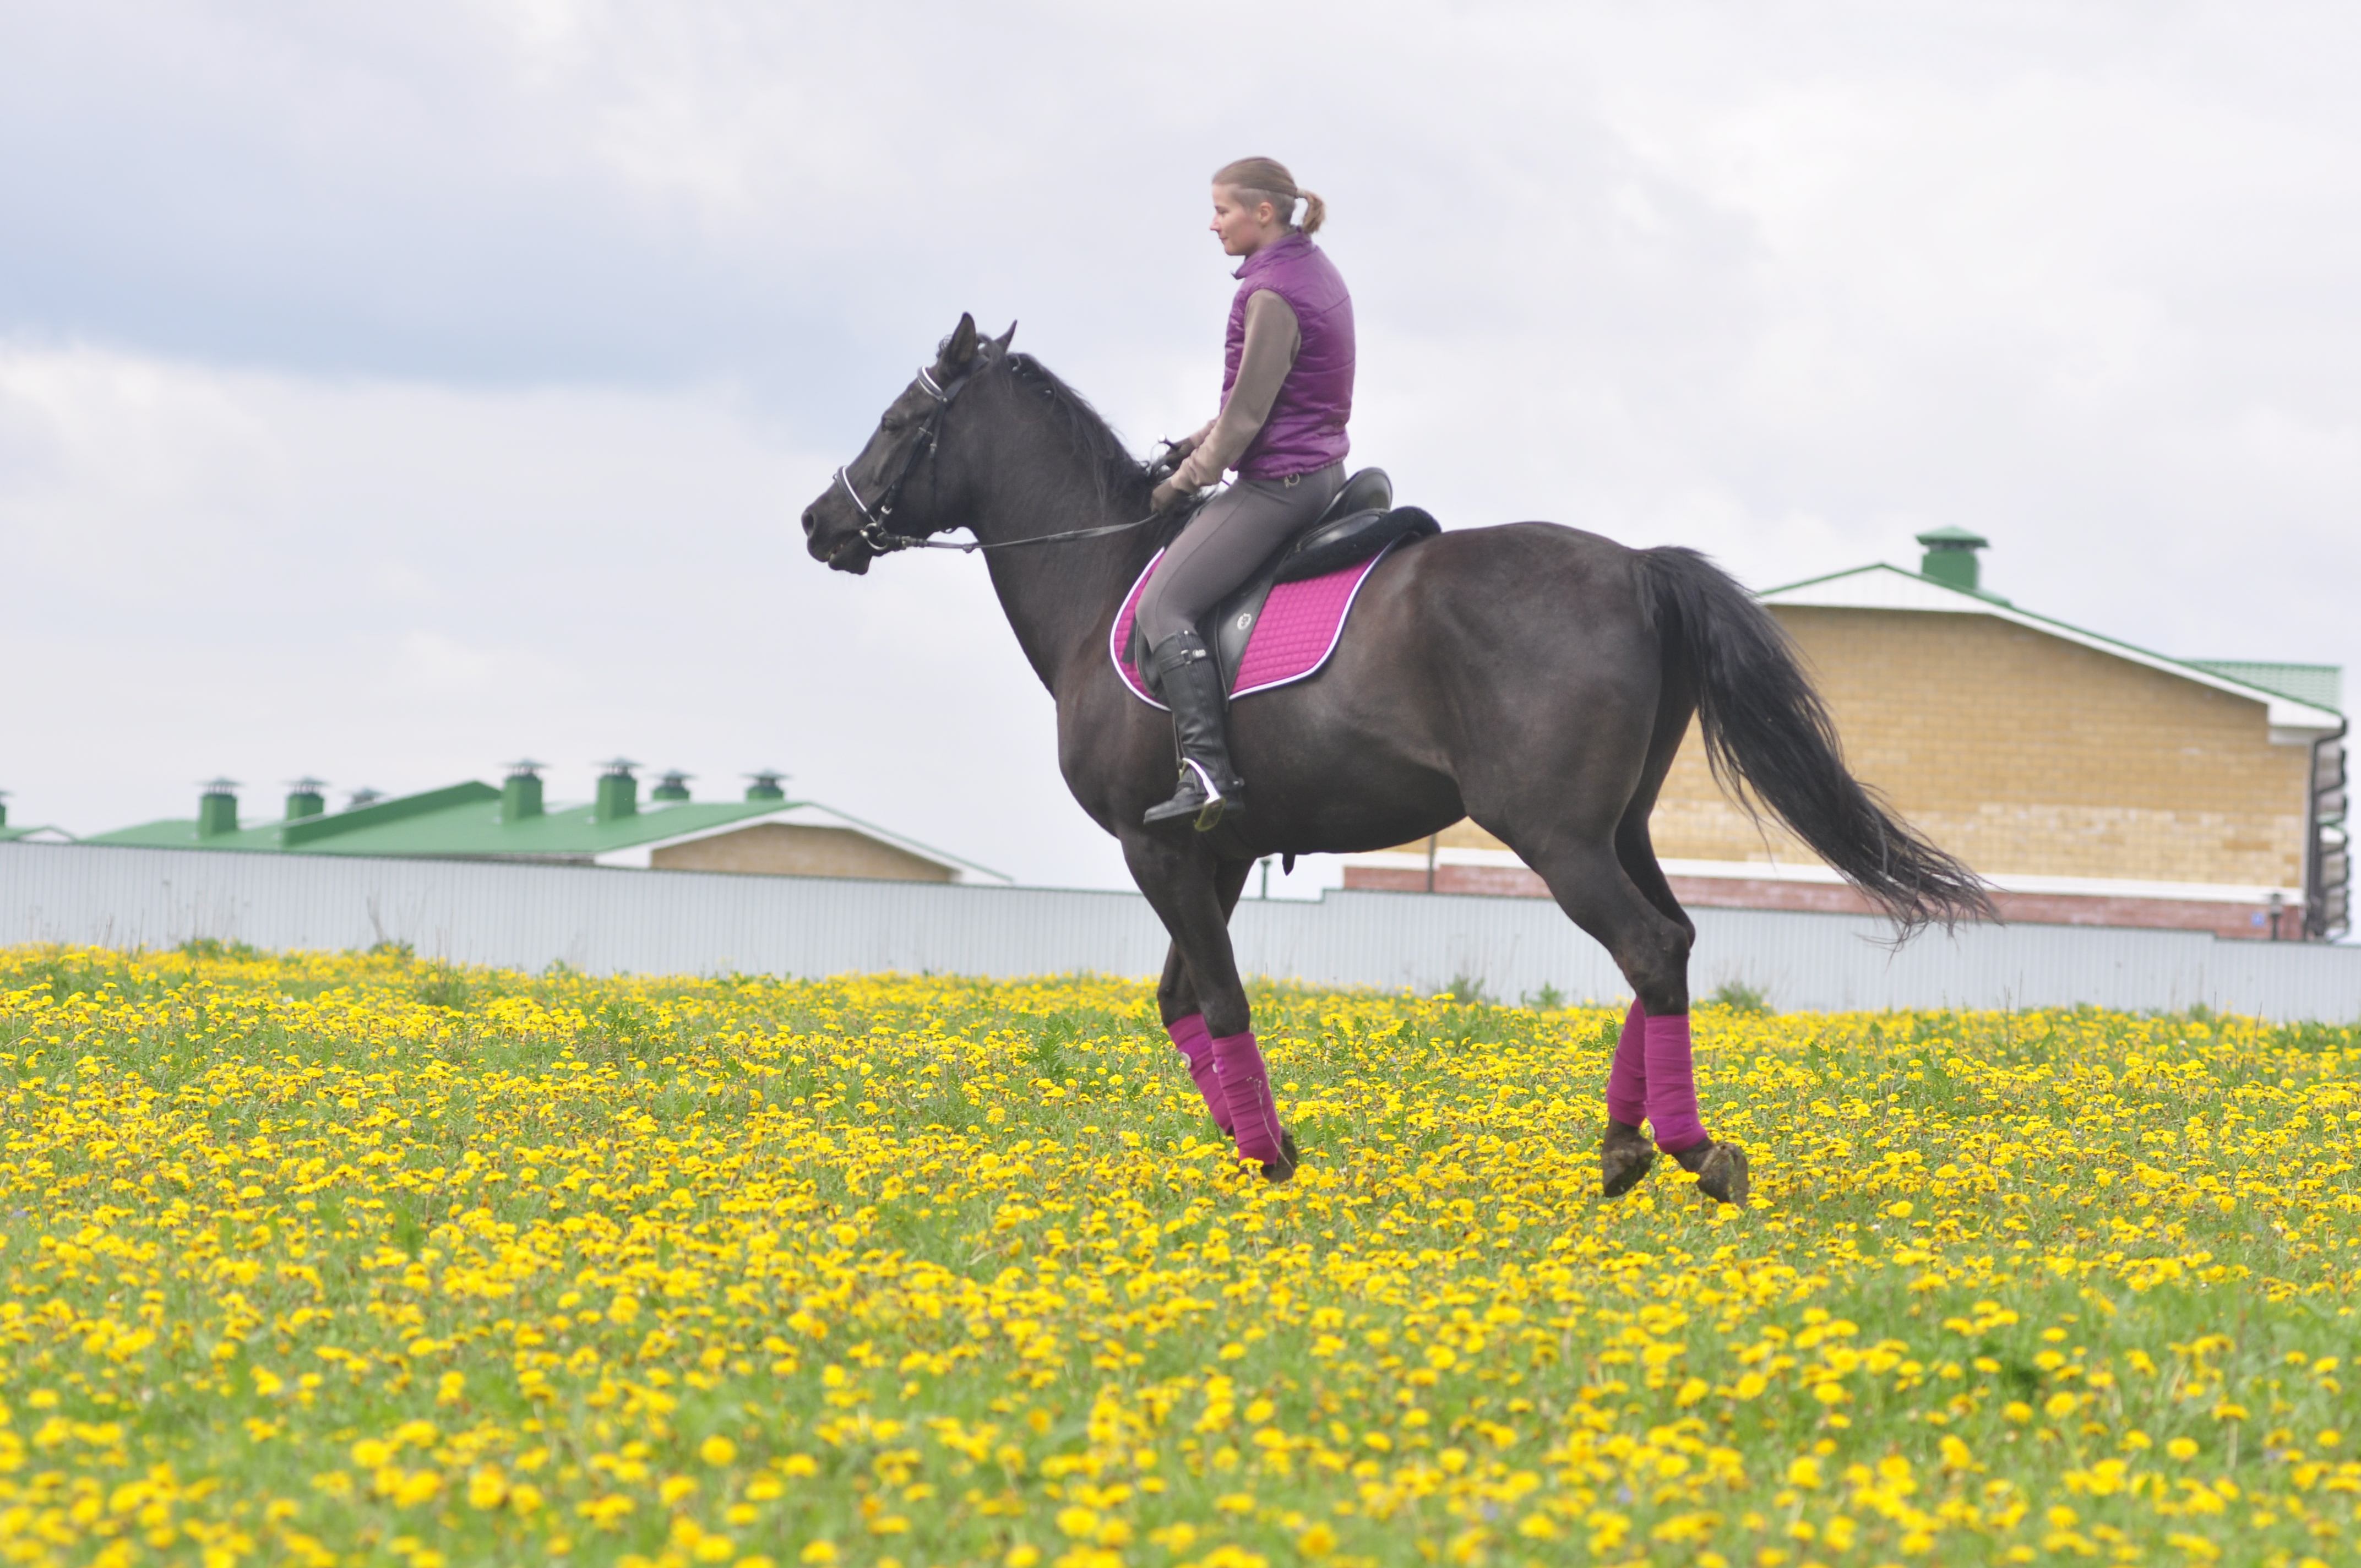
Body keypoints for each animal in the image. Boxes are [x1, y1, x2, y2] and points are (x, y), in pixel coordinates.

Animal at [798, 316, 1993, 1199]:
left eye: (901, 419)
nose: (819, 522)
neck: (1106, 584)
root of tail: (1633, 565)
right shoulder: (1215, 854)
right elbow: (1182, 1001)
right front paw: (1260, 1149)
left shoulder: (1160, 850)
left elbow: (1216, 1001)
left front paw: (1268, 1163)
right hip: (1620, 826)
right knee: (1674, 945)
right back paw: (1632, 1144)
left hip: (1556, 835)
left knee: (1649, 946)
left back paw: (1685, 1151)